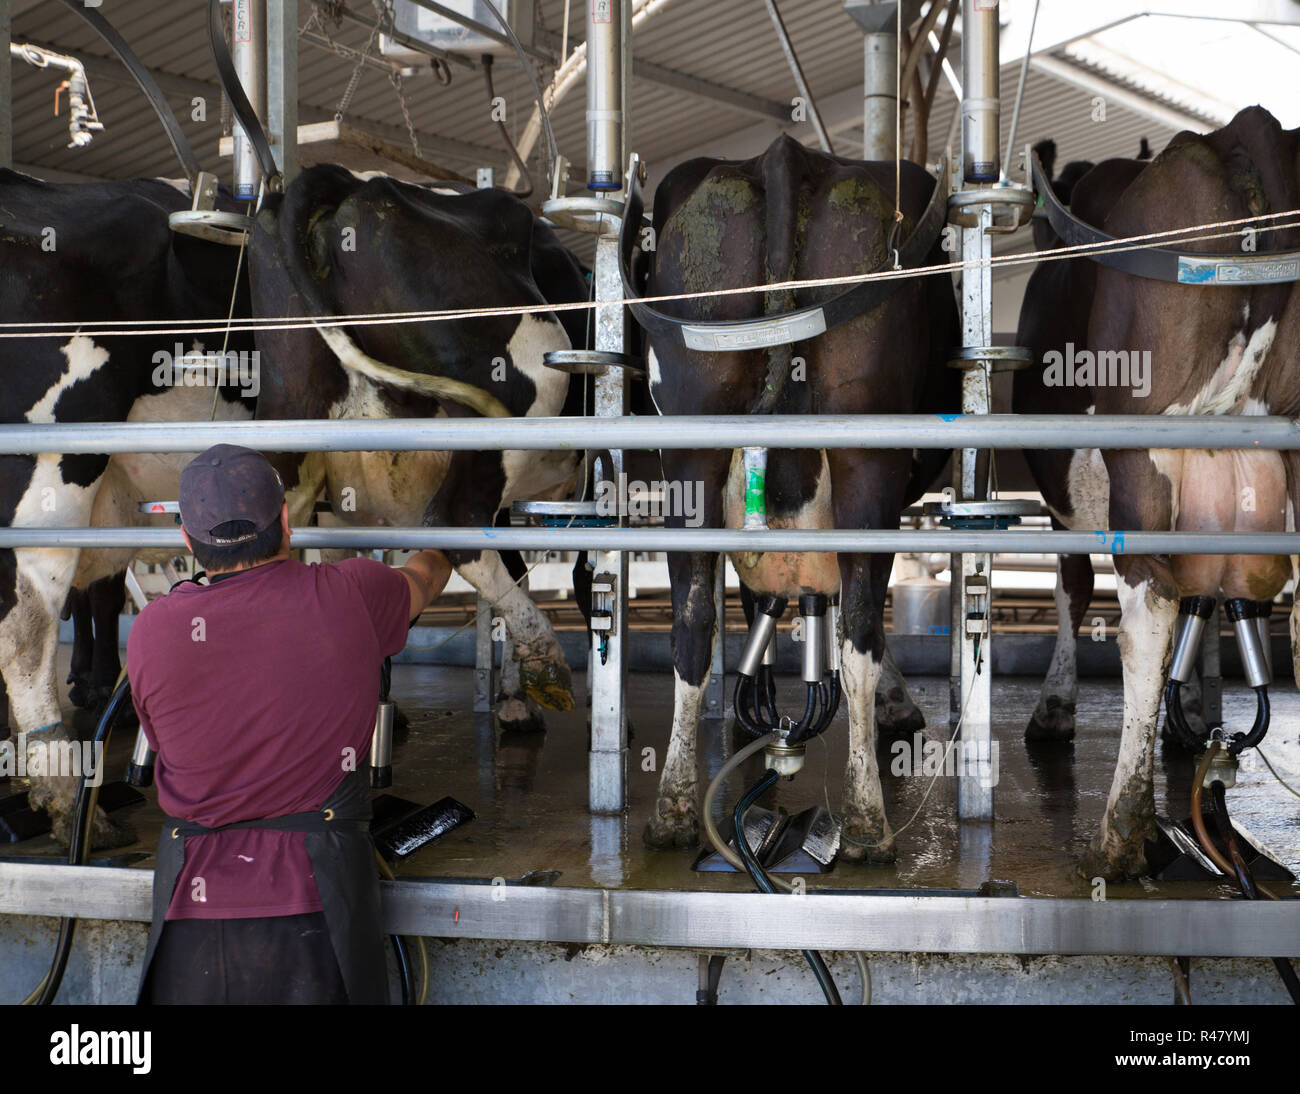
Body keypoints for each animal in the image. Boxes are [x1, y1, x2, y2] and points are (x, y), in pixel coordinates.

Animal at [246, 166, 590, 722]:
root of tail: (353, 180)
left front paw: (512, 700)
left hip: (288, 414)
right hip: (515, 400)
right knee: (457, 519)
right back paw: (547, 661)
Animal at [637, 134, 956, 852]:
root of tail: (784, 156)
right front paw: (897, 707)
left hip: (691, 451)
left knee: (691, 623)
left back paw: (673, 808)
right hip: (868, 453)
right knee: (861, 628)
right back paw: (867, 821)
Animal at [1013, 108, 1300, 878]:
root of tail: (1244, 129)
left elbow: (1074, 586)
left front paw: (1054, 709)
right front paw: (1195, 717)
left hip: (1140, 446)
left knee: (1151, 609)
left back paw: (1121, 832)